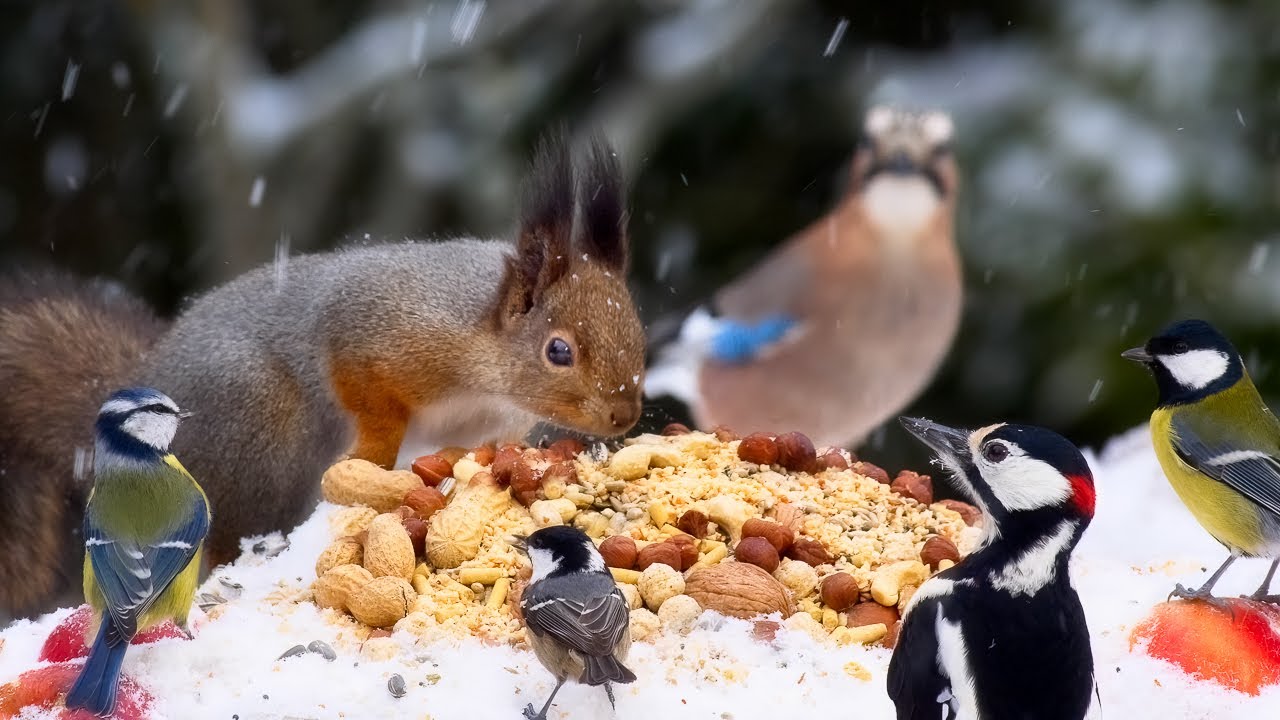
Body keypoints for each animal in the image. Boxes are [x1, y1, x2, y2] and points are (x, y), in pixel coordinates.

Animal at [0, 132, 646, 619]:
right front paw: (375, 461)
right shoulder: (374, 330)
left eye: (637, 327)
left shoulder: (490, 424)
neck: (483, 367)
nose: (625, 415)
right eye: (557, 351)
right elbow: (363, 390)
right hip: (259, 425)